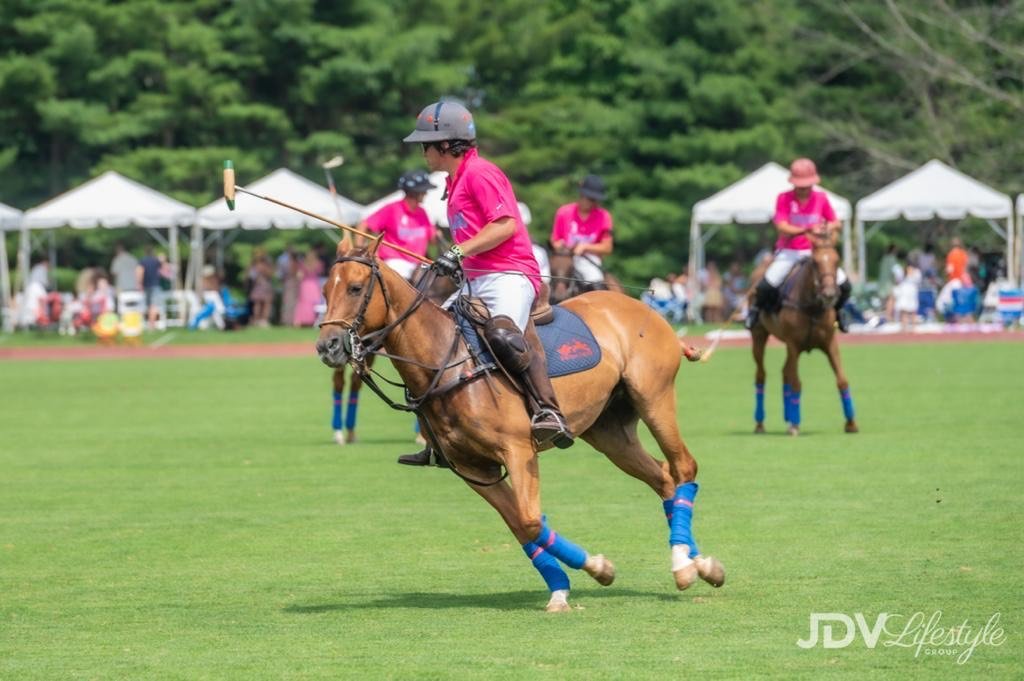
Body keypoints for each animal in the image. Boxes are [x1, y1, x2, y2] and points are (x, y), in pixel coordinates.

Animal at [315, 240, 724, 610]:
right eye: (324, 290)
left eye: (355, 288)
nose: (327, 346)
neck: (445, 361)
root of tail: (648, 310)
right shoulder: (472, 467)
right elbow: (521, 524)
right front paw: (565, 586)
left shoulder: (518, 449)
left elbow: (528, 520)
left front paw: (598, 568)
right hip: (608, 430)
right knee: (664, 478)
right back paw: (695, 565)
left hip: (654, 397)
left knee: (684, 467)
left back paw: (689, 566)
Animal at [753, 229, 856, 436]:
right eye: (815, 262)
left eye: (837, 260)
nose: (829, 294)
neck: (812, 308)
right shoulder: (794, 345)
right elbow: (796, 383)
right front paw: (795, 425)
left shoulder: (830, 343)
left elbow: (842, 380)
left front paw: (851, 423)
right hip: (759, 336)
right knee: (761, 375)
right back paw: (760, 424)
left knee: (784, 372)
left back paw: (787, 417)